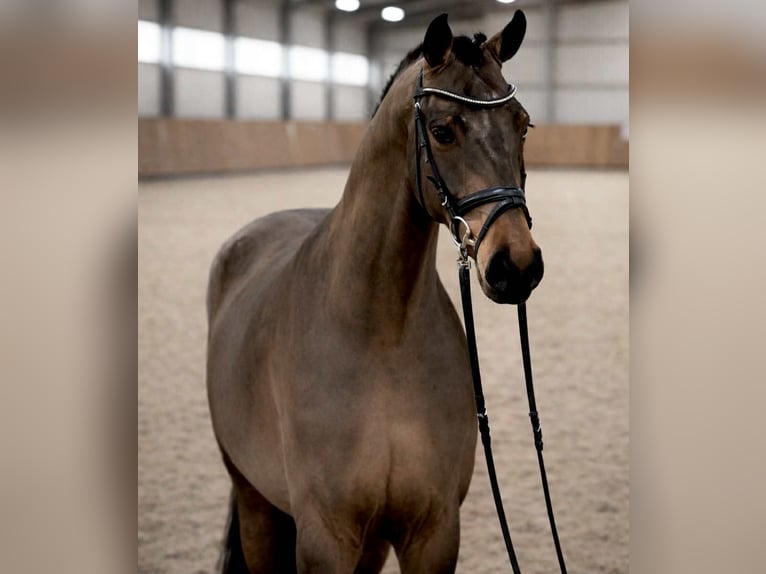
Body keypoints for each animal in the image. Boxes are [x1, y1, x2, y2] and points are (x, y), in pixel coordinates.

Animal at [206, 11, 542, 573]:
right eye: (442, 130)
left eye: (523, 124)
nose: (516, 265)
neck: (381, 336)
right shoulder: (326, 538)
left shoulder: (431, 532)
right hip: (254, 501)